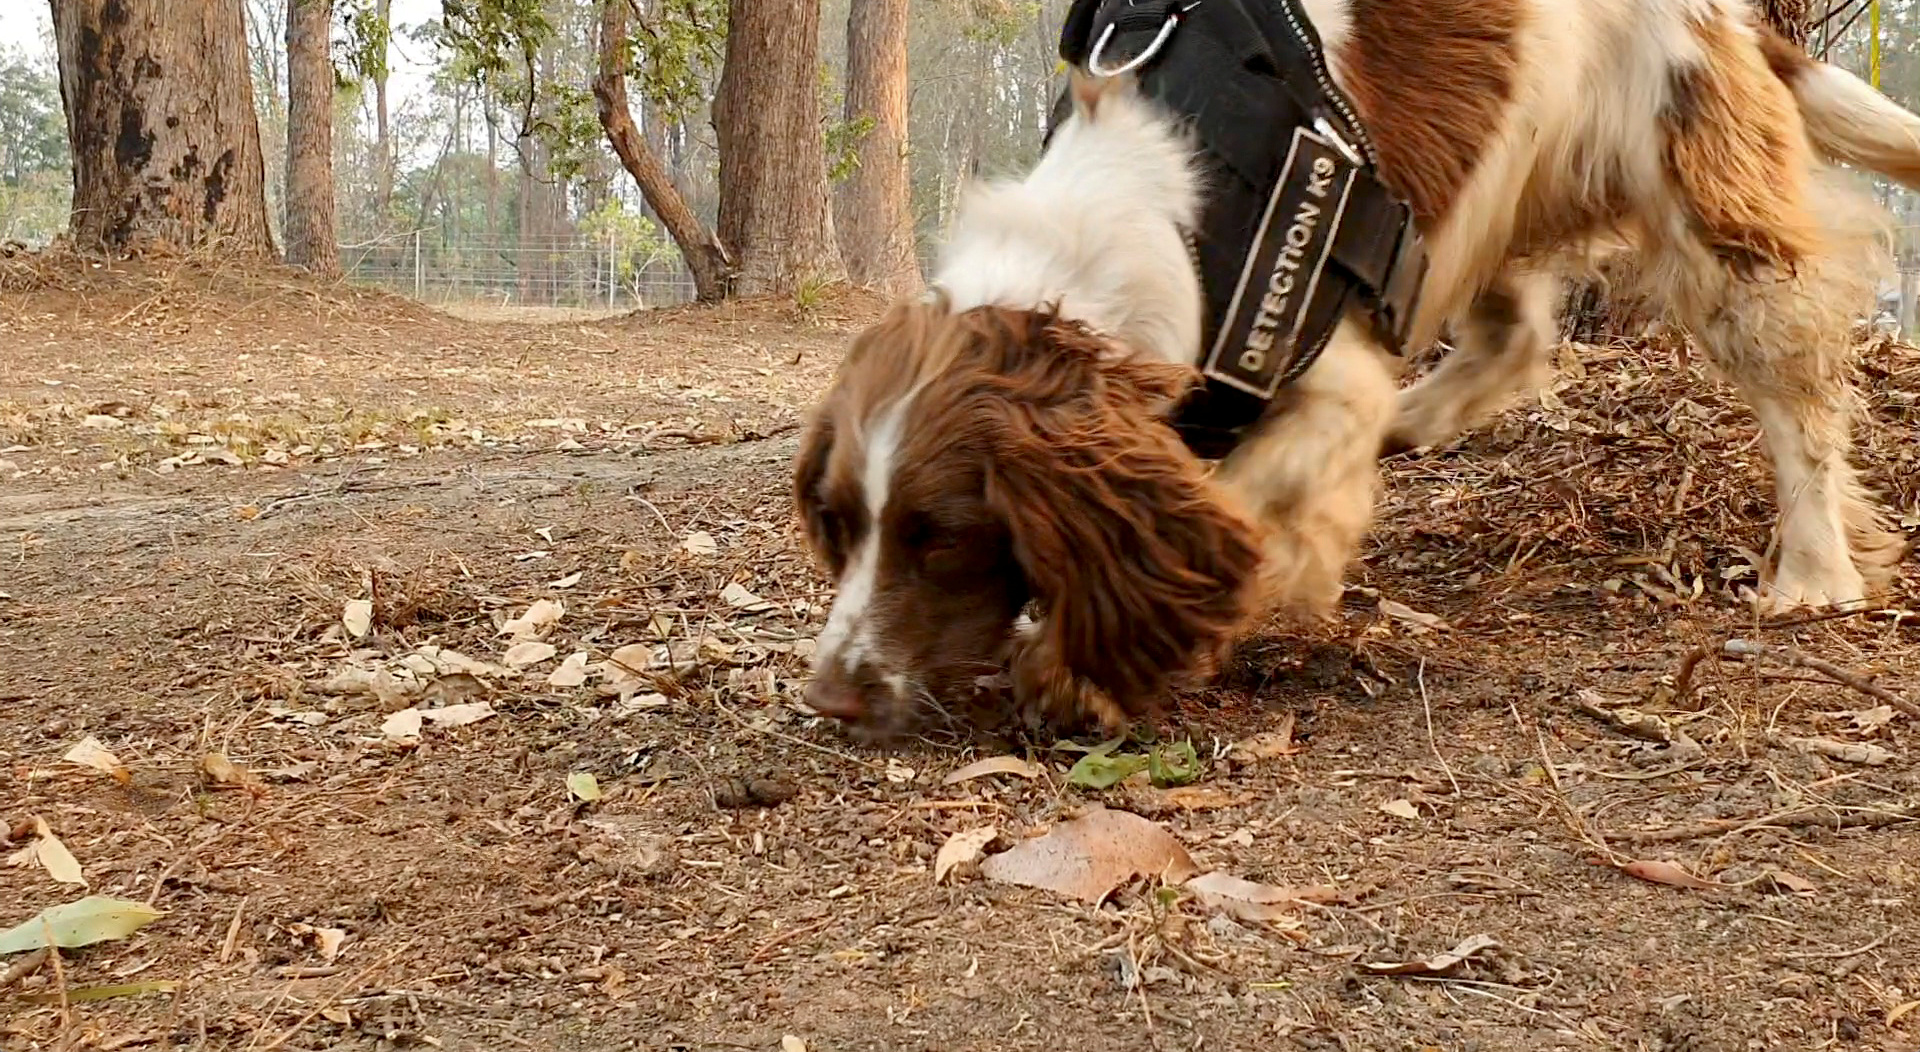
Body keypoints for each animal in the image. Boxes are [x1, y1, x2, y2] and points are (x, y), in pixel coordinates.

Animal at [794, 0, 1920, 741]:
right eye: (842, 523)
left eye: (944, 537)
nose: (833, 695)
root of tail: (1729, 15)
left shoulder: (1322, 382)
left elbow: (1242, 506)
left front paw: (1077, 671)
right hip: (1478, 208)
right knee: (1516, 337)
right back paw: (1418, 421)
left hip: (1705, 204)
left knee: (1799, 402)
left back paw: (1815, 572)